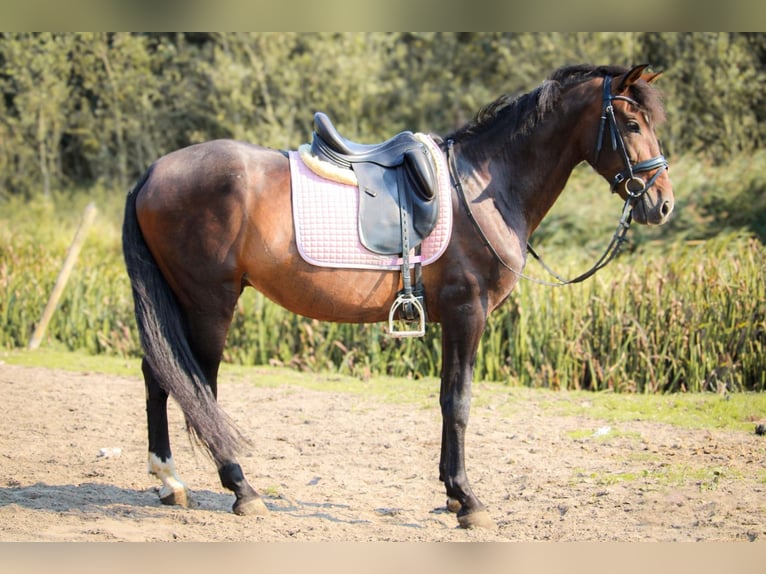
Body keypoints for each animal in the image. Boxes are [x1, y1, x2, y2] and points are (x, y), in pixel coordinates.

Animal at [123, 64, 676, 532]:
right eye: (631, 123)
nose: (662, 203)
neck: (484, 185)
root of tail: (151, 172)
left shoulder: (455, 319)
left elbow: (447, 399)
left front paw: (452, 494)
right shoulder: (467, 312)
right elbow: (458, 403)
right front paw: (468, 501)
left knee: (159, 375)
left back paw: (170, 481)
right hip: (209, 302)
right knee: (198, 386)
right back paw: (241, 488)